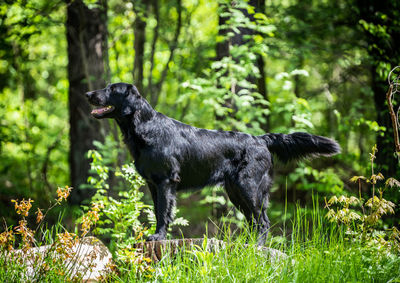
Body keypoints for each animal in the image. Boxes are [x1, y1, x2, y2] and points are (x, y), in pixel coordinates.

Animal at [86, 82, 340, 246]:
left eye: (112, 89)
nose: (88, 93)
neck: (146, 128)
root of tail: (261, 139)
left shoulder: (166, 181)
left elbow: (163, 212)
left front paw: (158, 237)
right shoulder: (153, 183)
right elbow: (158, 212)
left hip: (248, 187)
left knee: (263, 221)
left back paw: (257, 246)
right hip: (235, 191)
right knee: (253, 221)